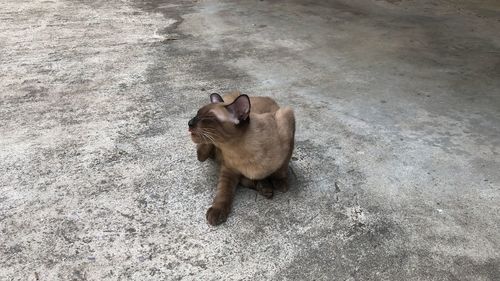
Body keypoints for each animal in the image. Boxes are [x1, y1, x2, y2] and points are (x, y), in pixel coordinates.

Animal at [189, 92, 294, 225]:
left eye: (208, 117)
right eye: (197, 114)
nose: (189, 122)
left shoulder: (287, 119)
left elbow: (282, 169)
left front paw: (280, 183)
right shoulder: (228, 170)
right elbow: (223, 190)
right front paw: (217, 211)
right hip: (207, 153)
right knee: (202, 153)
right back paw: (264, 187)